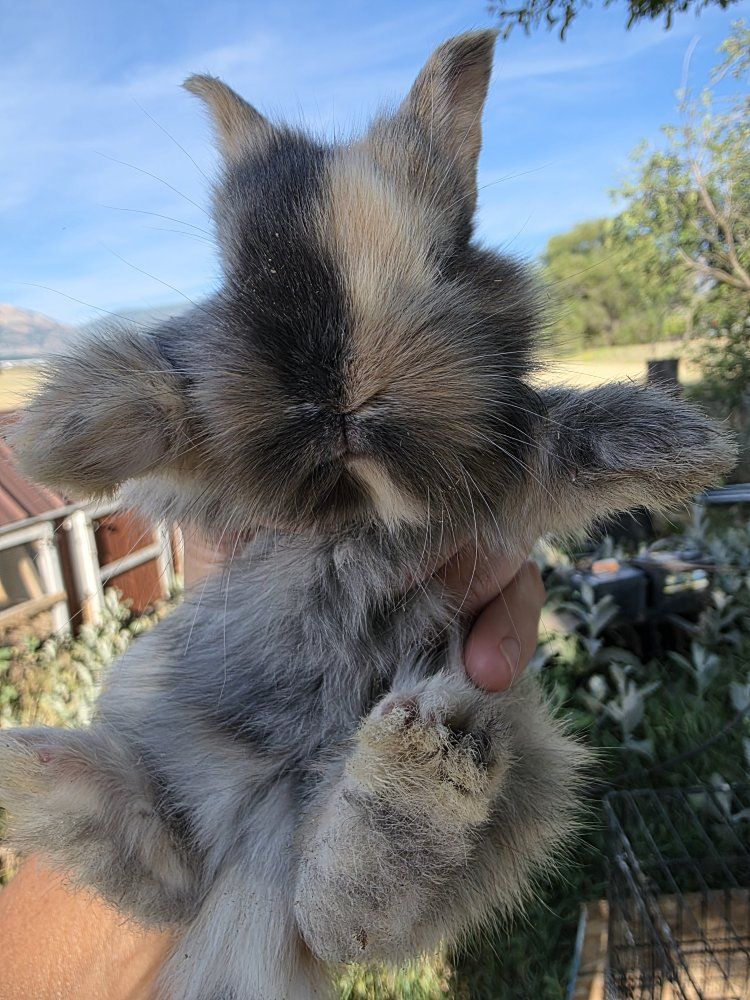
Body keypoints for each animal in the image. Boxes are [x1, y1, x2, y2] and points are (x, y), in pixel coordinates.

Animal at [0, 29, 735, 1000]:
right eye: (243, 275)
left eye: (448, 257)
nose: (341, 394)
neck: (357, 510)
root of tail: (257, 845)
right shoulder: (222, 488)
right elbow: (170, 405)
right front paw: (56, 438)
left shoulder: (502, 491)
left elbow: (564, 443)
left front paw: (688, 447)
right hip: (164, 705)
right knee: (171, 860)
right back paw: (31, 768)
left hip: (525, 762)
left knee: (334, 908)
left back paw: (418, 762)